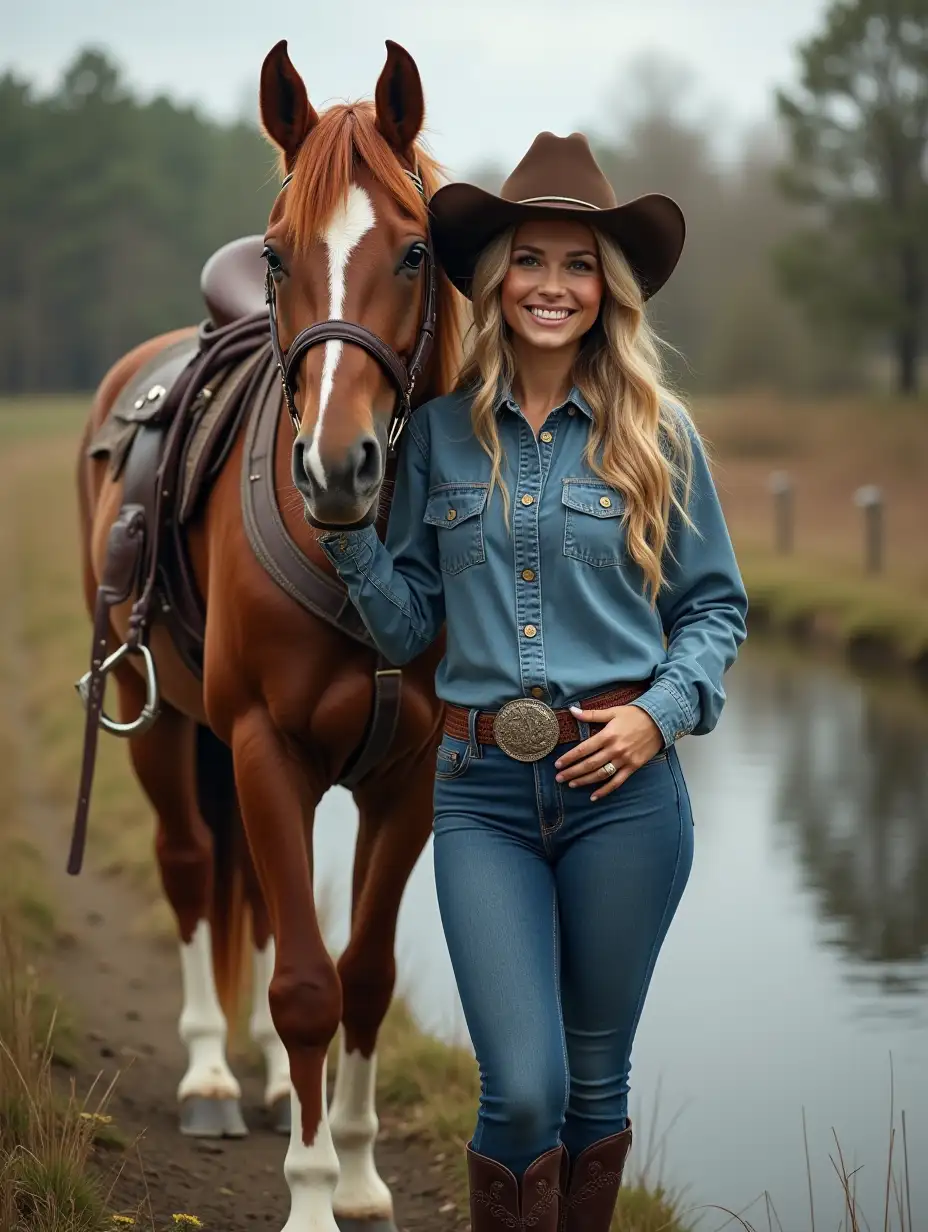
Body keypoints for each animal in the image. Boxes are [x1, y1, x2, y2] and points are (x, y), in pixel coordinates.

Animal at [77, 40, 460, 1232]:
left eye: (418, 250)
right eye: (280, 258)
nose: (337, 466)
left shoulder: (409, 771)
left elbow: (363, 974)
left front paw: (363, 1177)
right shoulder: (262, 747)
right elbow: (303, 984)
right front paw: (309, 1199)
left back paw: (267, 1080)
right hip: (157, 718)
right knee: (193, 865)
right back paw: (209, 1069)